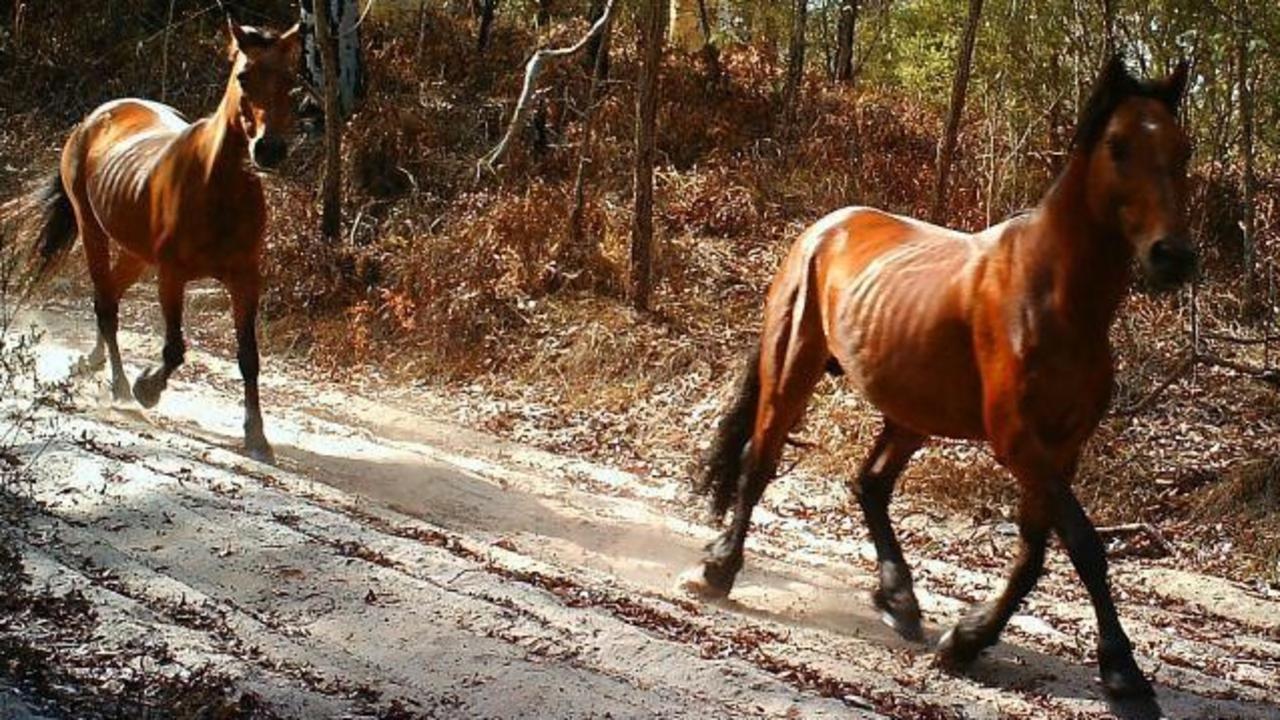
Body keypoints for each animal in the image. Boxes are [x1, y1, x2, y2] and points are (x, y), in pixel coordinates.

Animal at [23, 20, 299, 458]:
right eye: (244, 76)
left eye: (290, 79)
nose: (269, 150)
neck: (217, 187)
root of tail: (93, 118)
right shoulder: (172, 274)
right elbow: (174, 349)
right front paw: (147, 388)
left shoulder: (245, 279)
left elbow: (248, 357)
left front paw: (257, 437)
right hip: (92, 229)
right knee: (106, 305)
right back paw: (121, 387)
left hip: (136, 254)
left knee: (108, 296)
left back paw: (93, 363)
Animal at [686, 57, 1192, 702]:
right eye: (1118, 146)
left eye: (1183, 149)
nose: (1173, 256)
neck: (1054, 298)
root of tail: (823, 228)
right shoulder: (1018, 441)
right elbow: (1081, 542)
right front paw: (1122, 669)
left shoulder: (1063, 447)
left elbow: (1034, 550)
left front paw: (968, 641)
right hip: (793, 365)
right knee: (760, 461)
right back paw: (718, 570)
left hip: (911, 410)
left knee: (870, 484)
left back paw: (898, 600)